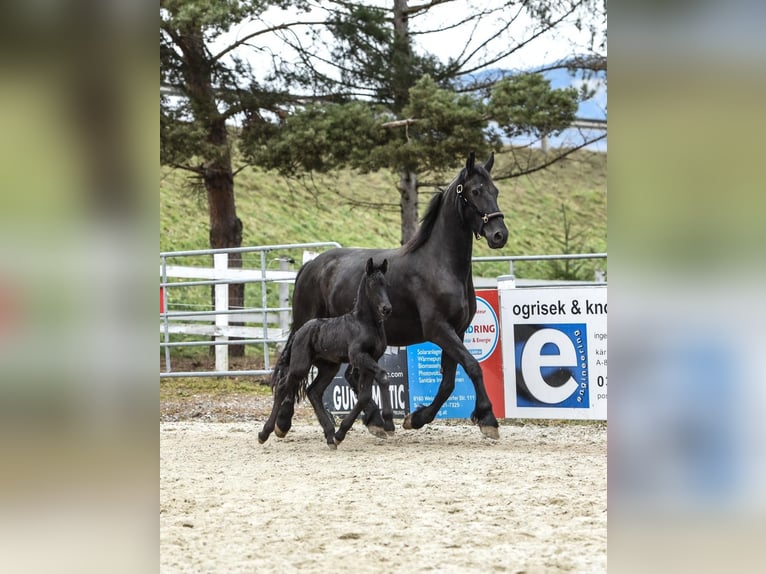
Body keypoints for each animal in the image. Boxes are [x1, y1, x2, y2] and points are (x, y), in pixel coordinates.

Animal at [258, 258, 393, 448]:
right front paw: (389, 422)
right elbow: (383, 376)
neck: (365, 323)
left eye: (386, 284)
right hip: (300, 366)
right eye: (373, 284)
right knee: (284, 387)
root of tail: (299, 331)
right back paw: (265, 433)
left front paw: (341, 433)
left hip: (329, 367)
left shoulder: (370, 359)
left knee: (313, 392)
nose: (386, 308)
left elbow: (365, 395)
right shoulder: (358, 356)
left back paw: (331, 436)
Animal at [269, 151, 508, 440]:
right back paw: (283, 422)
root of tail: (312, 265)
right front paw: (488, 418)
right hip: (309, 329)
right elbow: (473, 366)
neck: (440, 264)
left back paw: (374, 421)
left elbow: (448, 383)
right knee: (291, 374)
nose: (499, 235)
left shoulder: (457, 331)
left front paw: (416, 418)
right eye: (475, 191)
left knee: (349, 377)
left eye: (495, 190)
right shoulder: (439, 330)